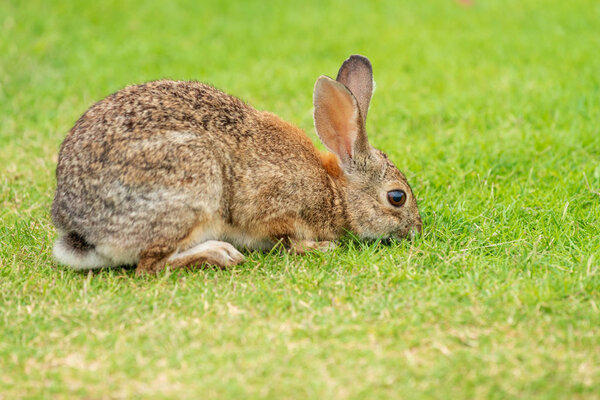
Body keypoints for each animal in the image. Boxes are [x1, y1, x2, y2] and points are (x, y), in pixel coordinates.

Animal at [52, 54, 422, 276]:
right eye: (397, 197)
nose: (416, 230)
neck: (335, 191)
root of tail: (81, 229)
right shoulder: (274, 206)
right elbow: (286, 237)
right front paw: (320, 246)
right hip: (192, 187)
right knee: (150, 264)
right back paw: (219, 254)